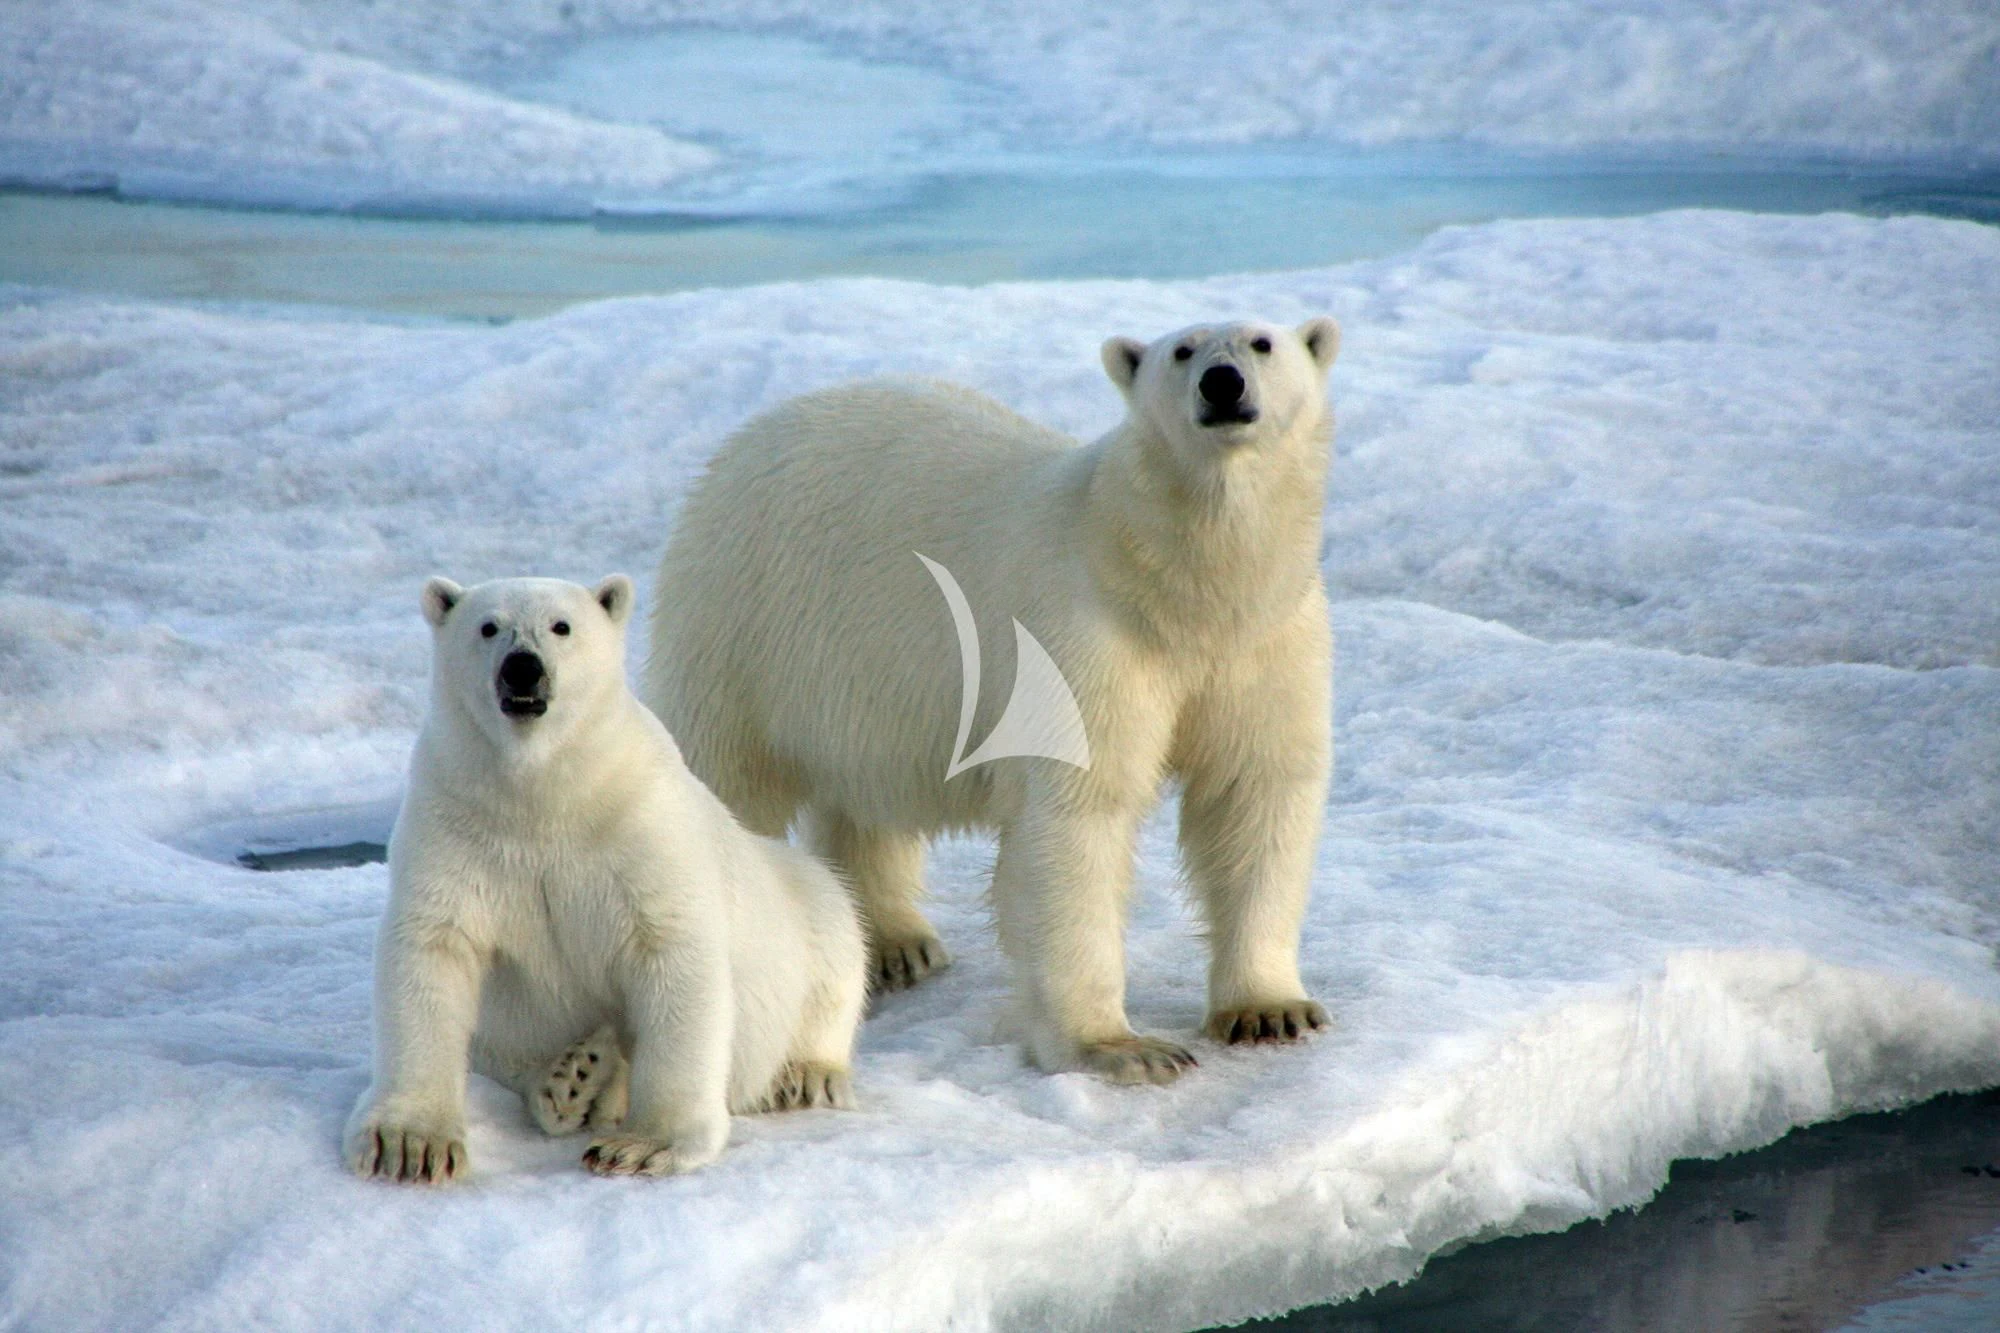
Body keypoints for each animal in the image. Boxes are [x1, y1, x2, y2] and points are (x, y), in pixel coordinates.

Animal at [345, 574, 866, 1182]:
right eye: (488, 626)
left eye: (561, 626)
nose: (522, 668)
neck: (543, 796)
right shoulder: (455, 820)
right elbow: (433, 949)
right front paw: (409, 1144)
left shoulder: (640, 828)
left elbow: (673, 956)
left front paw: (643, 1145)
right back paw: (572, 1078)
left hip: (799, 901)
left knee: (834, 935)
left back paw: (803, 1075)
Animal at [646, 319, 1339, 1085]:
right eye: (1182, 351)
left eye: (1262, 342)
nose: (1222, 383)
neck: (1176, 593)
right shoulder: (1083, 632)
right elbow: (1080, 813)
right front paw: (1122, 1048)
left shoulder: (1264, 643)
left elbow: (1256, 793)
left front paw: (1271, 1010)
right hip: (744, 622)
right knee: (728, 774)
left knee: (862, 797)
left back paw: (896, 943)